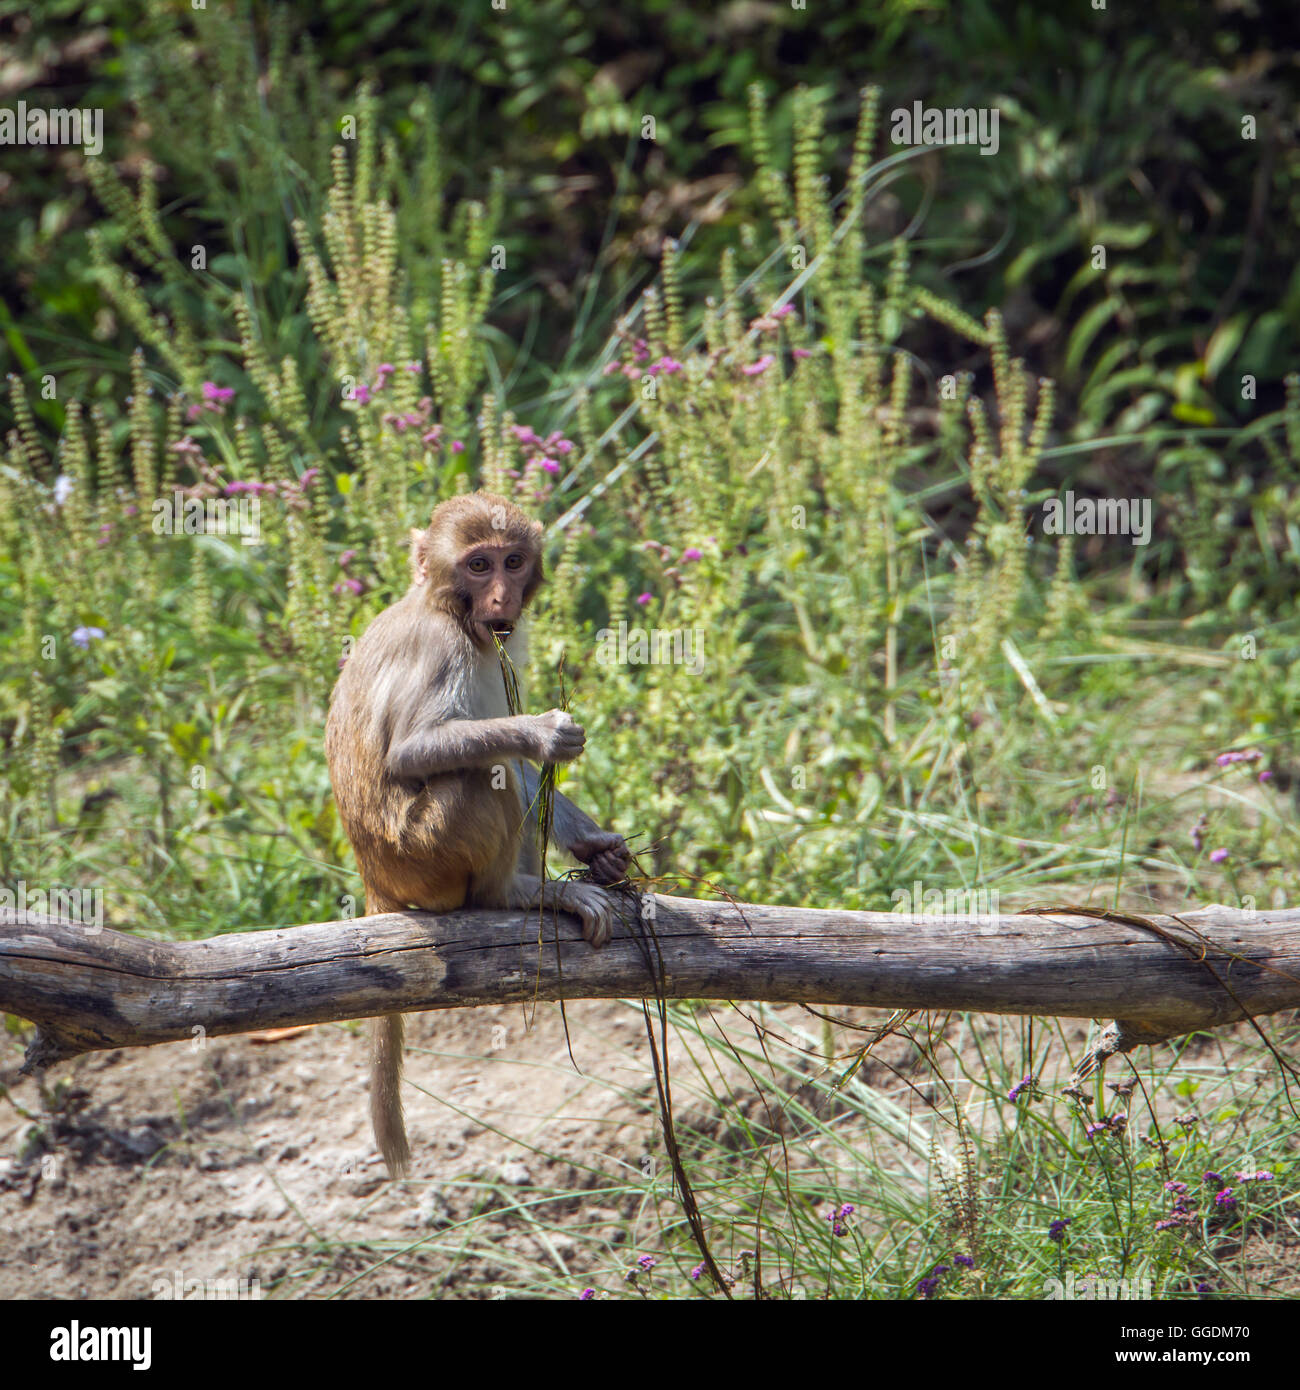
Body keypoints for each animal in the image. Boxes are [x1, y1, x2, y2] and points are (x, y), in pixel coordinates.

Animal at [324, 491, 631, 1177]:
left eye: (512, 562)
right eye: (478, 564)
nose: (499, 599)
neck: (449, 613)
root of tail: (374, 876)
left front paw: (595, 846)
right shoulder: (442, 649)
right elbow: (415, 750)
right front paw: (545, 731)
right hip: (425, 854)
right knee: (481, 773)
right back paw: (514, 894)